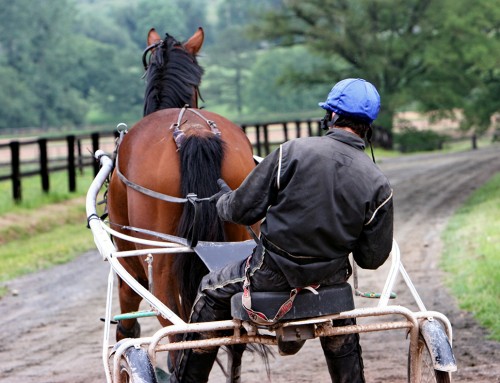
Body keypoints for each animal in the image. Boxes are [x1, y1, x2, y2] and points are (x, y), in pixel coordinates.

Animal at [104, 27, 254, 378]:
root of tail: (194, 132)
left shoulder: (128, 262)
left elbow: (128, 322)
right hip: (237, 239)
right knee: (233, 339)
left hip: (160, 261)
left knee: (172, 329)